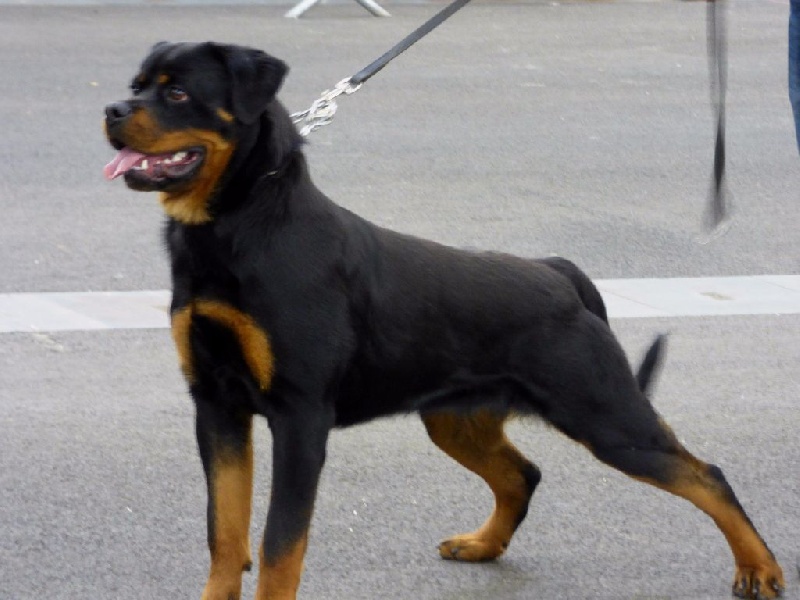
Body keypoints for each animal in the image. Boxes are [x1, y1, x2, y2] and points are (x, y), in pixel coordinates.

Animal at [104, 42, 784, 600]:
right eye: (136, 85)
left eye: (177, 92)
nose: (111, 109)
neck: (238, 223)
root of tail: (560, 274)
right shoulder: (216, 405)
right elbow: (225, 533)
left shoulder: (299, 417)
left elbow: (278, 545)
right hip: (457, 418)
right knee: (522, 474)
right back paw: (482, 545)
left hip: (607, 418)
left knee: (707, 475)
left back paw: (760, 569)